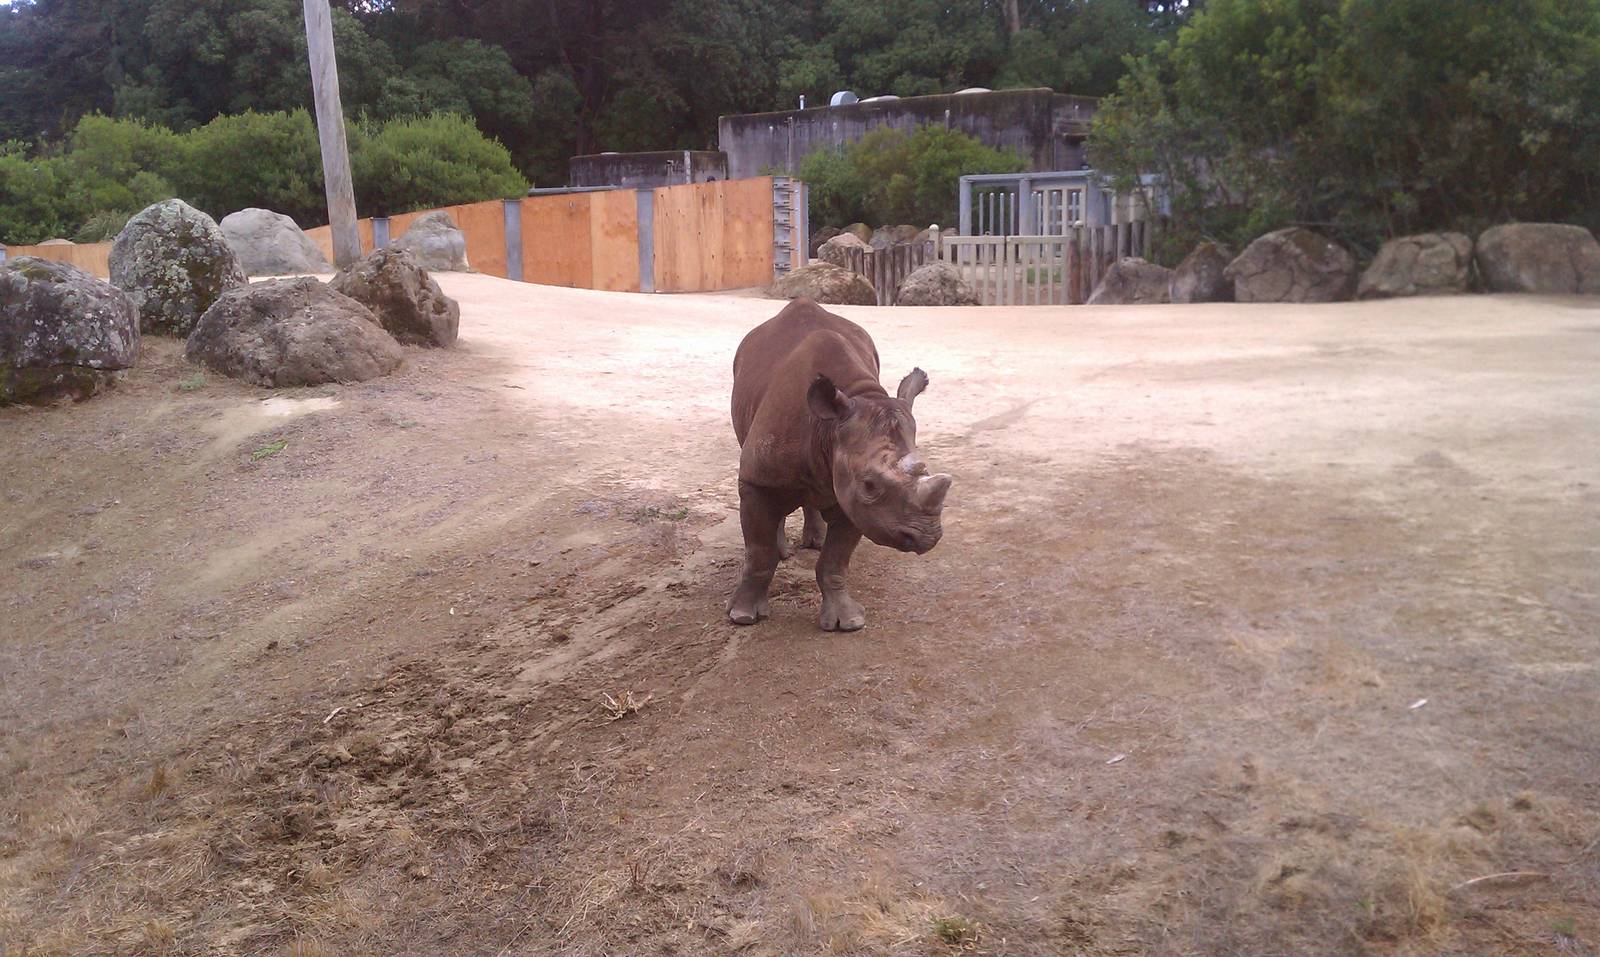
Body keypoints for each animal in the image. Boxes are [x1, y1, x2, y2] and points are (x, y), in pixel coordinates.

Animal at [728, 298, 952, 630]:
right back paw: (784, 550)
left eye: (925, 470)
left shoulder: (854, 500)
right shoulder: (759, 479)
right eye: (870, 484)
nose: (928, 537)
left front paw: (847, 622)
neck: (829, 430)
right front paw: (742, 616)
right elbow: (759, 553)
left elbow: (835, 561)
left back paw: (816, 541)